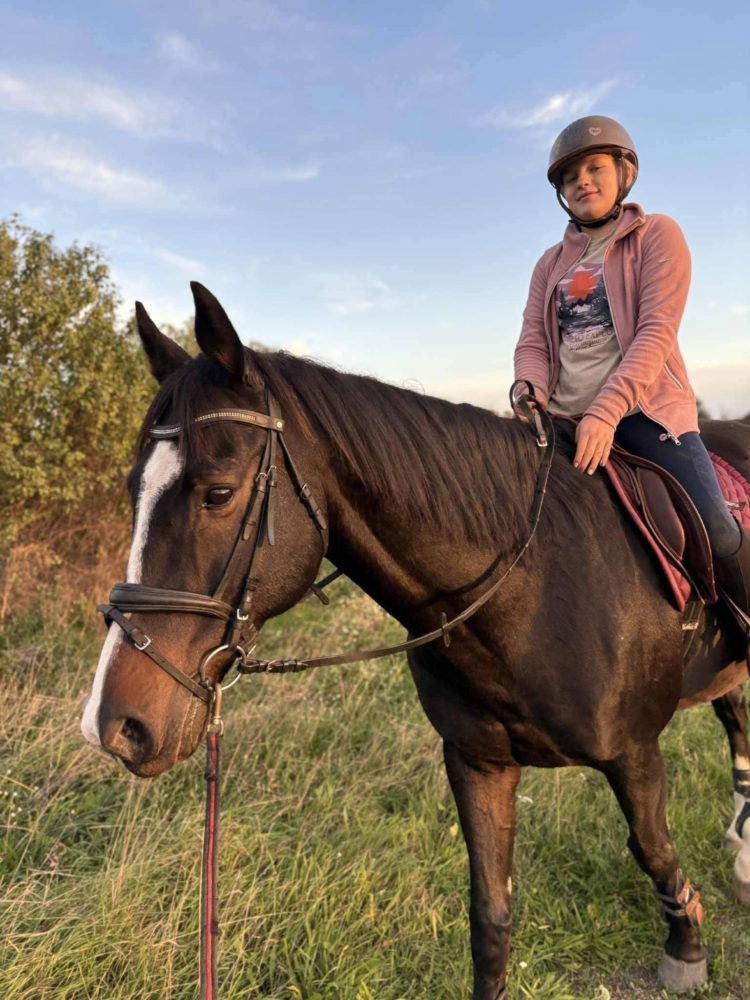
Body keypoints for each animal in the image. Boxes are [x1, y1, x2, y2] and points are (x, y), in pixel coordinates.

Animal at [81, 282, 750, 998]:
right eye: (132, 490)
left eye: (218, 492)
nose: (113, 724)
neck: (534, 585)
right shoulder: (478, 762)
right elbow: (490, 917)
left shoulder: (633, 752)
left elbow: (653, 849)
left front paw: (686, 948)